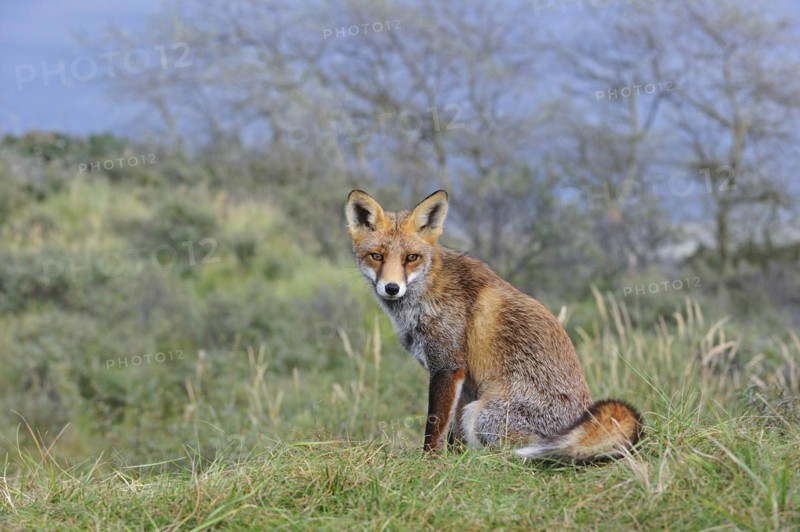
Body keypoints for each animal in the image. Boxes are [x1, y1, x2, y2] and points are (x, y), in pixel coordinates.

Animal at [344, 189, 642, 462]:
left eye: (411, 258)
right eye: (377, 256)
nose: (392, 288)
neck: (428, 290)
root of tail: (579, 419)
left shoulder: (447, 365)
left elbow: (434, 426)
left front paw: (429, 462)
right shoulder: (463, 380)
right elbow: (451, 433)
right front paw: (453, 459)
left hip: (481, 414)